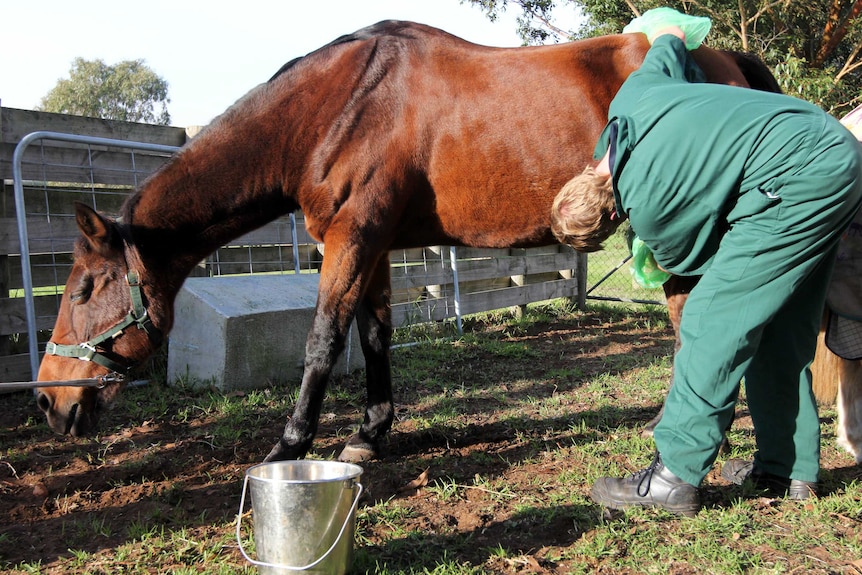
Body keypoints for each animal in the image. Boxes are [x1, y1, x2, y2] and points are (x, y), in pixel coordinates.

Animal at [32, 20, 776, 464]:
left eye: (85, 288)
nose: (49, 401)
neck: (339, 105)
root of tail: (724, 61)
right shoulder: (374, 243)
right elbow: (373, 336)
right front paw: (369, 435)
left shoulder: (351, 237)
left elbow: (323, 341)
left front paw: (289, 446)